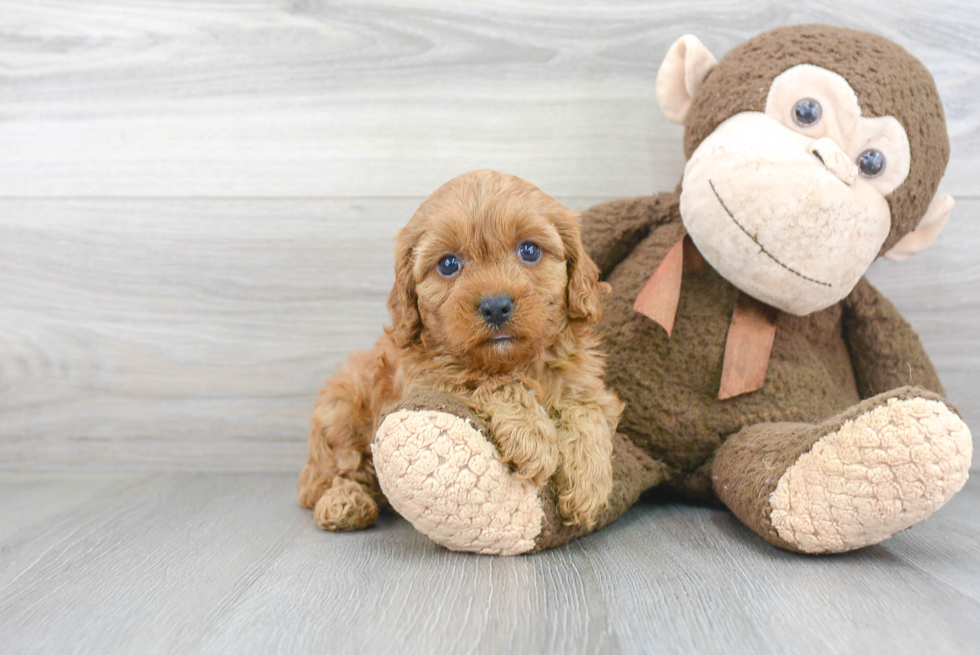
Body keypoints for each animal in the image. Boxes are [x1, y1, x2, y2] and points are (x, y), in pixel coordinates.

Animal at [294, 169, 624, 532]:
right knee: (335, 475)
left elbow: (586, 411)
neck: (516, 360)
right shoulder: (426, 380)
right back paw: (344, 503)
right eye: (449, 264)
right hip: (340, 413)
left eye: (529, 250)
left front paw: (588, 482)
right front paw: (532, 436)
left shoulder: (585, 382)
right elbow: (487, 380)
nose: (496, 306)